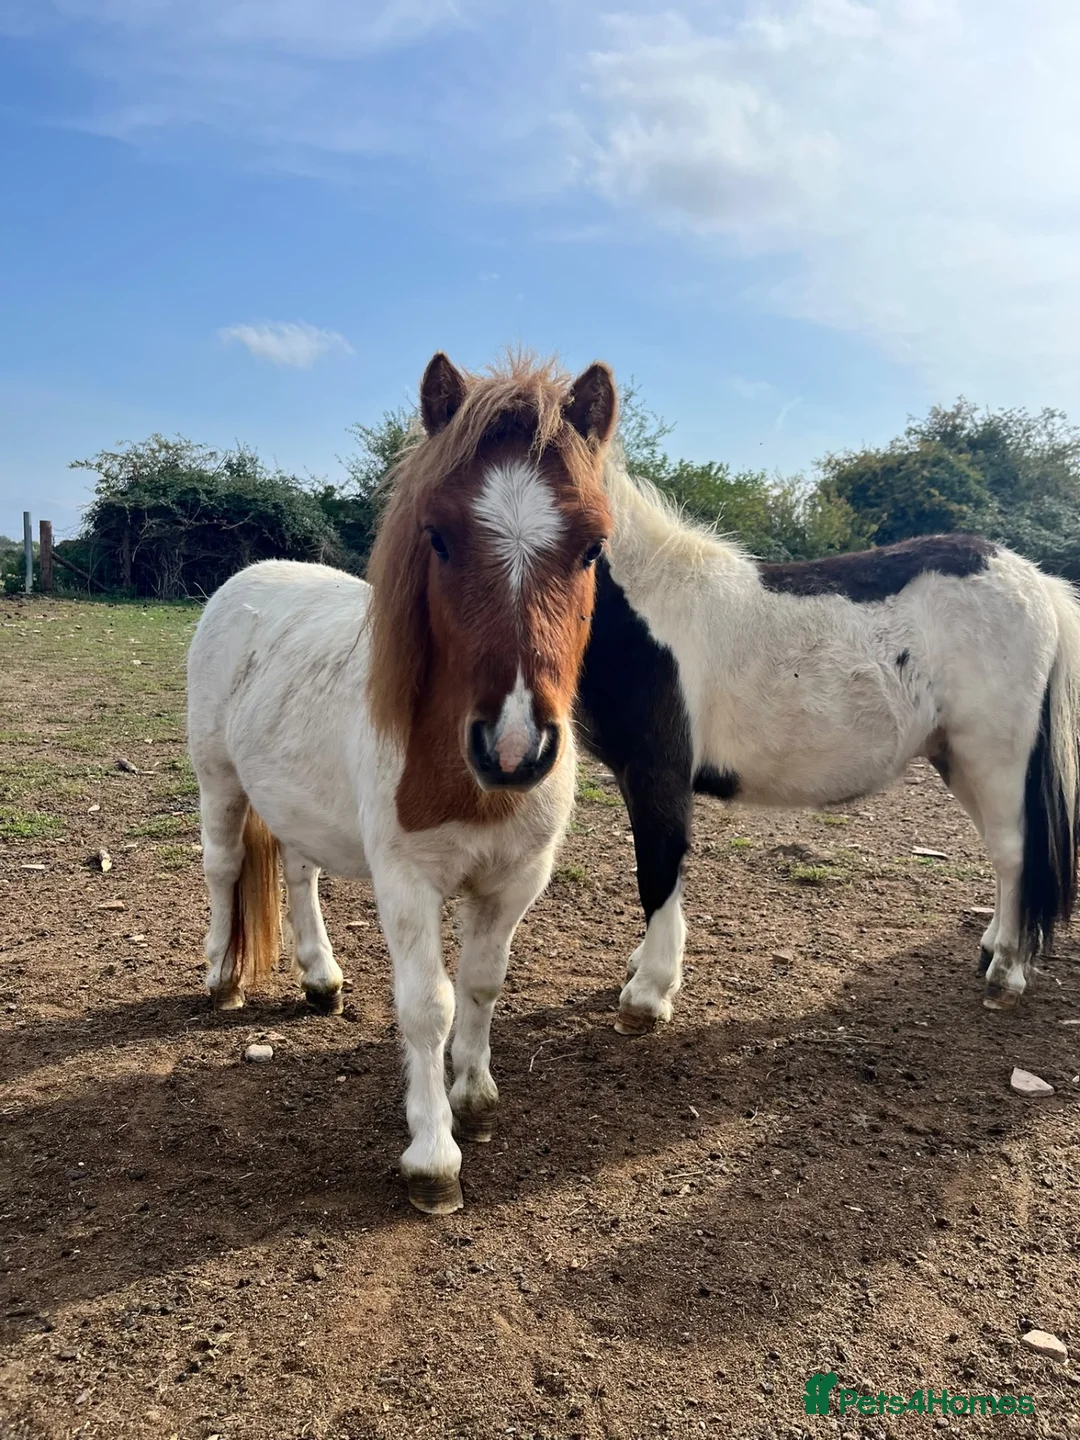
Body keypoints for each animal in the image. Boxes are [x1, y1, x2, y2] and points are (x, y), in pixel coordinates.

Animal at [187, 351, 615, 1214]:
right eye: (439, 538)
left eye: (591, 547)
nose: (513, 746)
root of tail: (249, 579)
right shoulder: (407, 881)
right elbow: (429, 1005)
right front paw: (432, 1158)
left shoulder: (515, 880)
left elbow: (483, 984)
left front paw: (475, 1097)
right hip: (218, 779)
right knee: (221, 868)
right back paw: (221, 979)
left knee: (300, 873)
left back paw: (321, 980)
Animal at [576, 458, 1080, 1034]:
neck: (646, 608)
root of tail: (1036, 581)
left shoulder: (658, 773)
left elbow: (658, 869)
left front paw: (648, 993)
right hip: (957, 759)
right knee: (1002, 853)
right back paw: (993, 948)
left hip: (995, 757)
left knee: (1014, 853)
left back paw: (1006, 975)